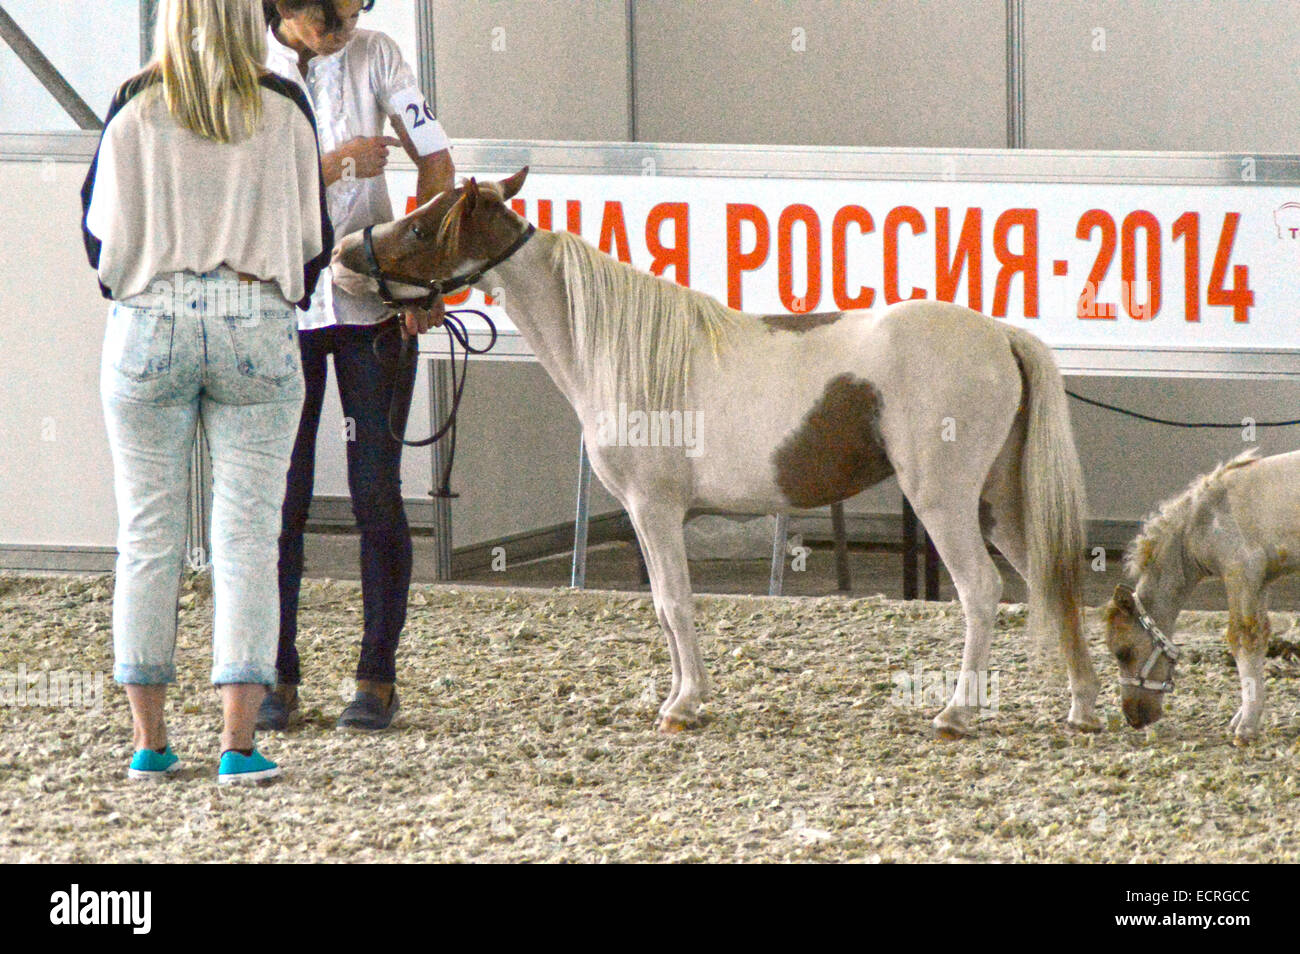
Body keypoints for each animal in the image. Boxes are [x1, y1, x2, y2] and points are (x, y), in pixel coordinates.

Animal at [331, 168, 1101, 738]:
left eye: (423, 225)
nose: (340, 259)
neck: (619, 348)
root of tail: (1001, 335)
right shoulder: (647, 515)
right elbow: (665, 604)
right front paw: (682, 695)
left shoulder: (653, 508)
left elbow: (674, 602)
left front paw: (684, 705)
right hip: (998, 503)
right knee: (1050, 581)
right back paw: (1084, 706)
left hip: (944, 501)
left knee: (982, 591)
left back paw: (958, 713)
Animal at [1104, 448, 1300, 744]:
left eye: (1122, 652)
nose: (1132, 718)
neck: (1203, 519)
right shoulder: (1260, 581)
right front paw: (1241, 717)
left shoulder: (1241, 573)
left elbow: (1243, 640)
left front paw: (1246, 726)